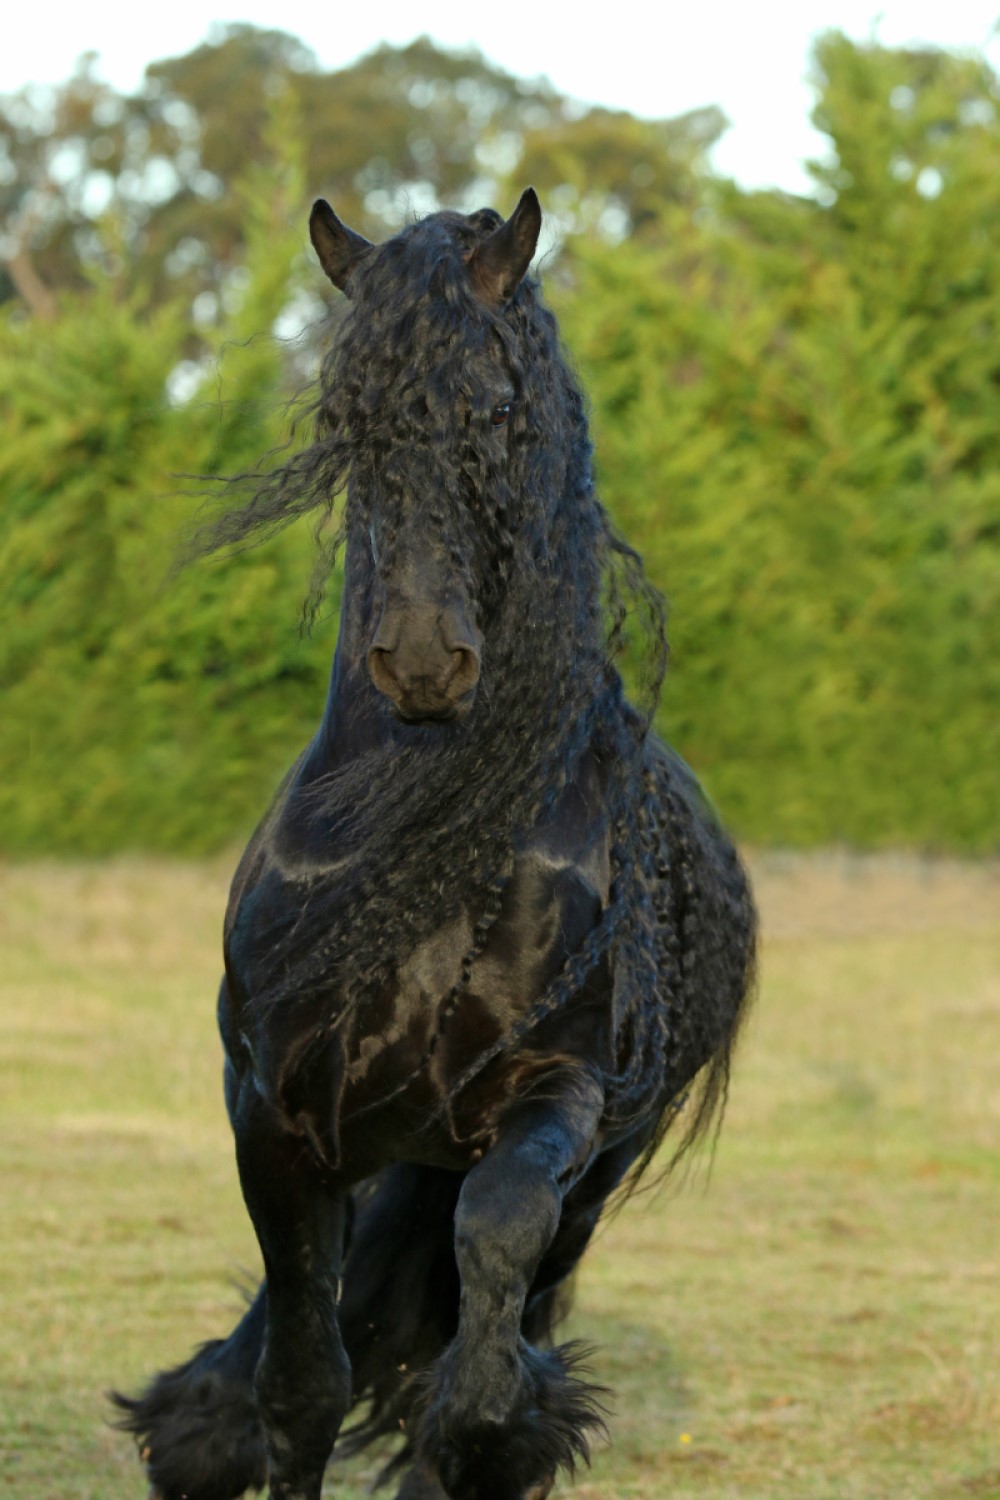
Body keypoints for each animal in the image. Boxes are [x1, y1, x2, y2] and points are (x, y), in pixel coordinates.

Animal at [114, 187, 757, 1500]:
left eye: (498, 410)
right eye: (346, 417)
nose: (420, 660)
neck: (424, 830)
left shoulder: (553, 1094)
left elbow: (485, 1284)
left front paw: (489, 1424)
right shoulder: (277, 1120)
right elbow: (303, 1378)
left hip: (590, 1177)